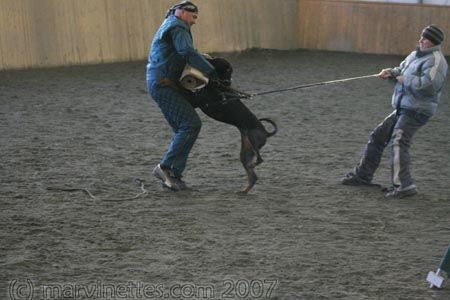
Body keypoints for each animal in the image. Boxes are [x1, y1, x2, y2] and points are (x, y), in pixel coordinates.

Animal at [192, 56, 276, 192]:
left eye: (212, 60)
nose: (204, 55)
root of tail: (266, 132)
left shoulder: (202, 99)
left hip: (253, 138)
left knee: (260, 160)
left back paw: (253, 166)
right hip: (245, 152)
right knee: (253, 176)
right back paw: (244, 190)